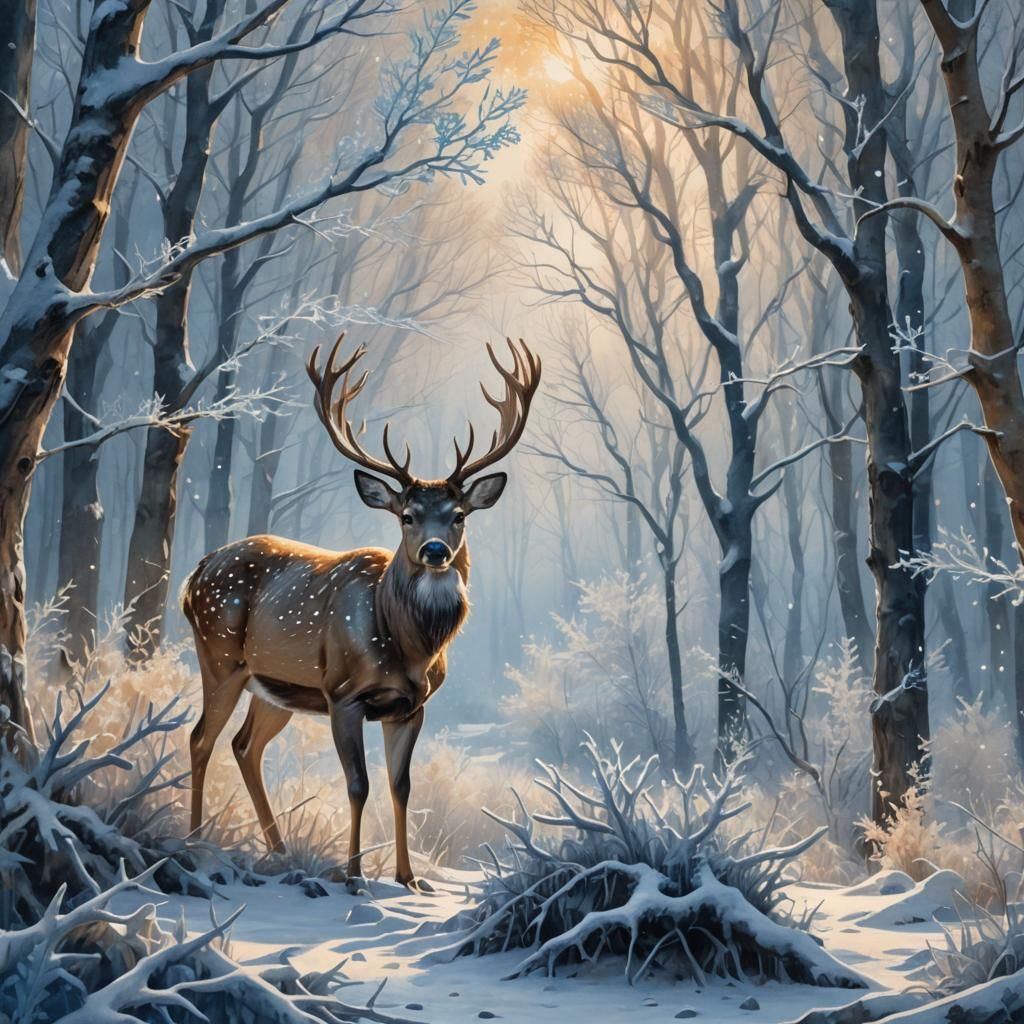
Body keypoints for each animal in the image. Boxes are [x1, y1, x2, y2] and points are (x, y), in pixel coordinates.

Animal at [181, 334, 540, 890]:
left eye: (458, 515)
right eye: (407, 516)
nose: (435, 550)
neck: (407, 645)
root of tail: (194, 573)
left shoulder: (412, 706)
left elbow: (401, 786)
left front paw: (409, 878)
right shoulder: (343, 694)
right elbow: (358, 784)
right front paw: (353, 875)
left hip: (276, 687)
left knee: (245, 745)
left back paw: (280, 852)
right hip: (219, 657)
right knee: (201, 738)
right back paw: (196, 845)